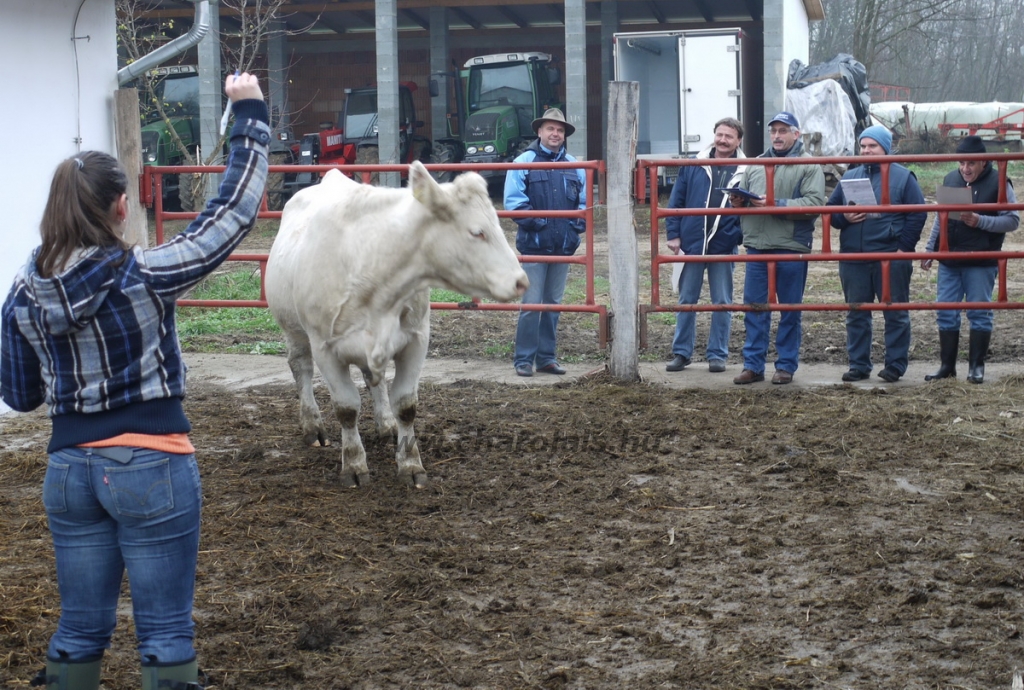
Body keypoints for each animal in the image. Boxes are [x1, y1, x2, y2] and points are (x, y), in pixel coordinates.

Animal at [266, 159, 528, 487]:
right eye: (477, 232)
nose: (521, 281)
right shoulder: (325, 347)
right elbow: (346, 408)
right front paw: (354, 464)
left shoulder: (416, 340)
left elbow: (405, 404)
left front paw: (410, 463)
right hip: (294, 330)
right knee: (301, 367)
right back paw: (312, 426)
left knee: (372, 379)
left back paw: (385, 424)